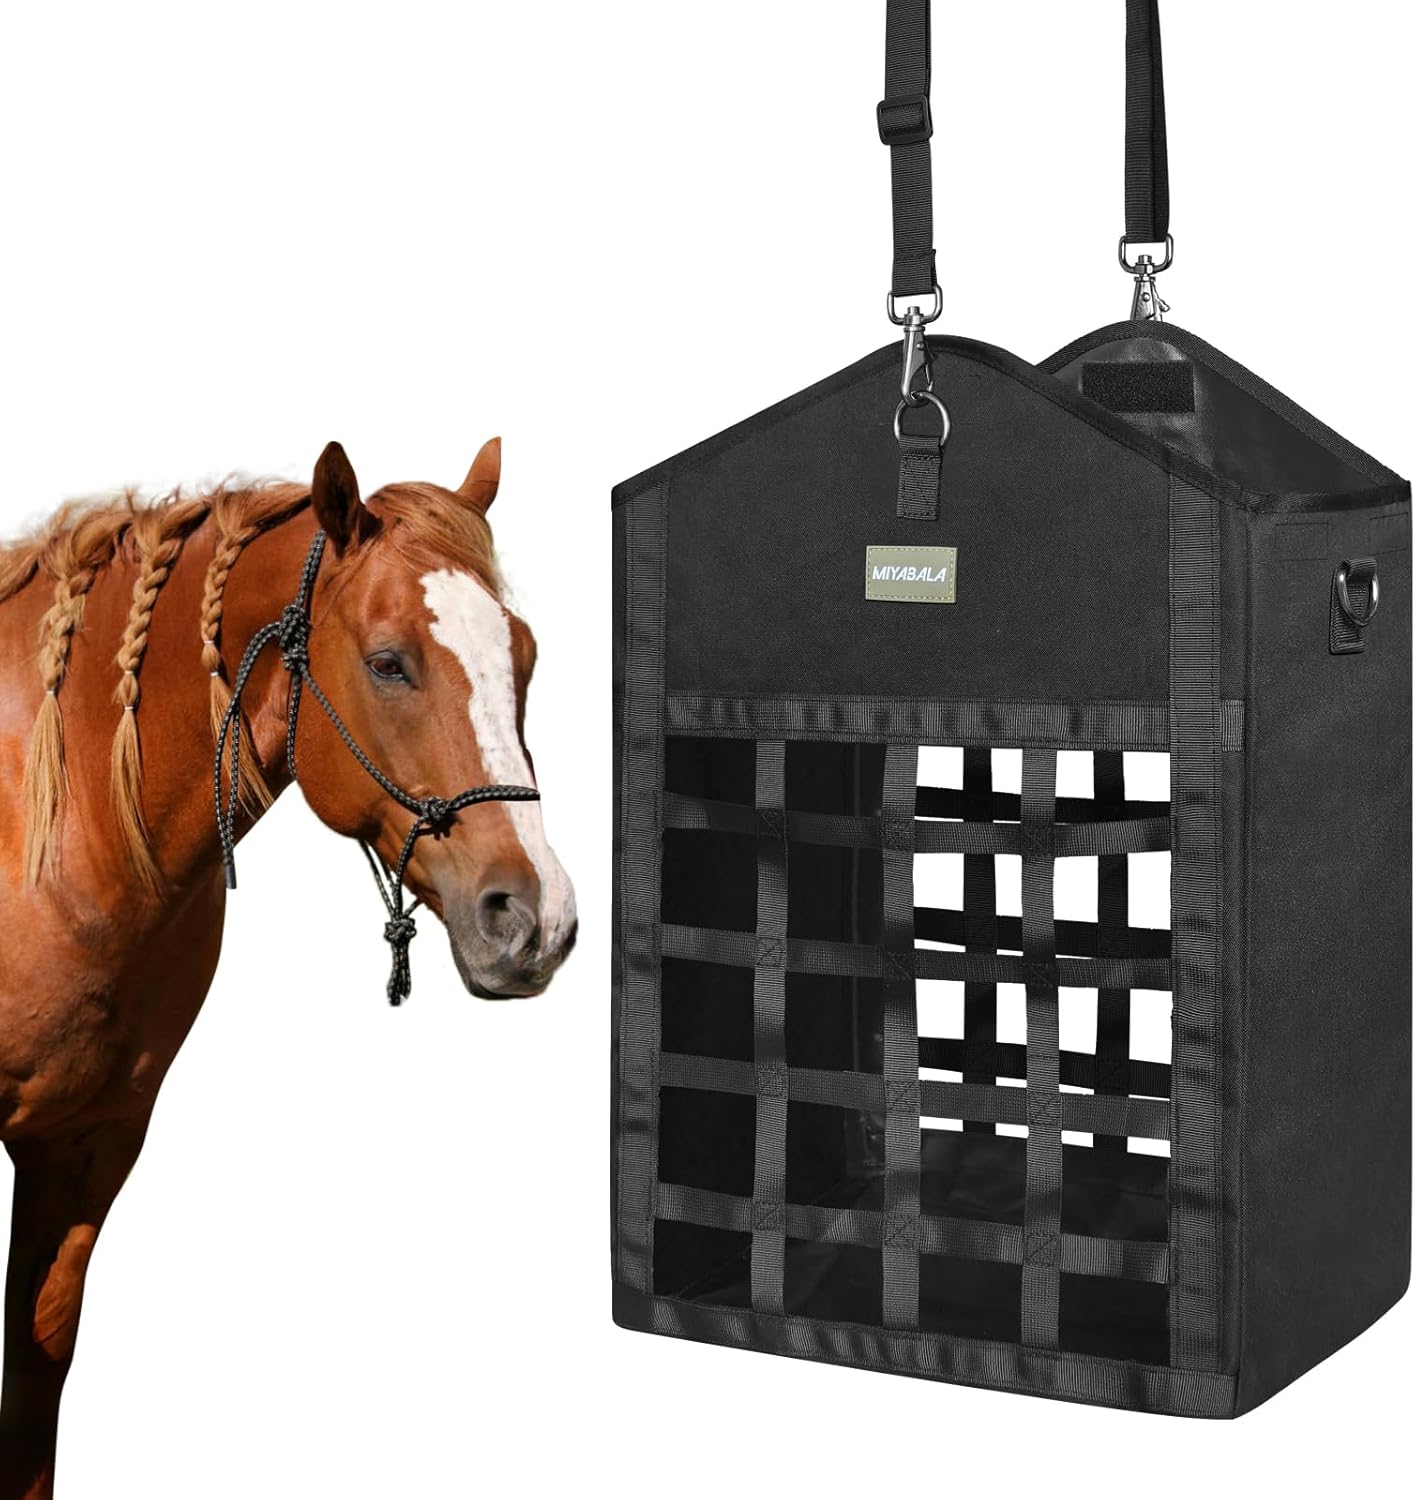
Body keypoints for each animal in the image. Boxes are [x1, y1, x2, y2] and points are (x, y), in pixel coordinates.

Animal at [0, 439, 576, 1499]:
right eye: (389, 663)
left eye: (522, 656)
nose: (538, 918)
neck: (46, 819)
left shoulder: (86, 1147)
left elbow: (35, 1381)